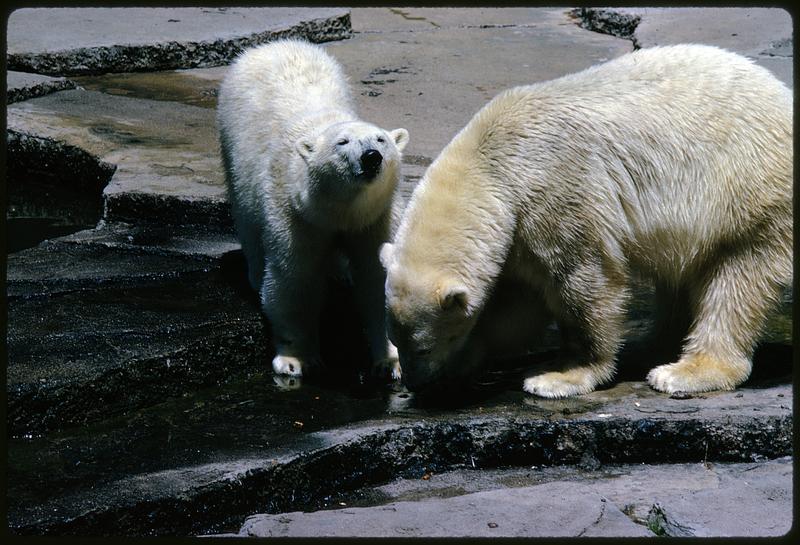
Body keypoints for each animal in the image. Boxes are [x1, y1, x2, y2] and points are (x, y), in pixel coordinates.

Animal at [217, 39, 410, 378]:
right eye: (342, 142)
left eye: (381, 139)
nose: (371, 157)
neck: (339, 209)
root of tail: (274, 44)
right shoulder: (295, 214)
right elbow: (294, 278)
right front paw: (294, 361)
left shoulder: (377, 218)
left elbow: (377, 278)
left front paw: (390, 362)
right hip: (232, 142)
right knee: (246, 218)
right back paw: (254, 273)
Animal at [382, 44, 792, 398]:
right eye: (398, 340)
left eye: (422, 347)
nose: (415, 382)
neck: (489, 167)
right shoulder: (516, 232)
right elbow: (516, 306)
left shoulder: (556, 191)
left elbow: (584, 278)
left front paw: (560, 375)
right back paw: (650, 345)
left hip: (746, 188)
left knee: (738, 277)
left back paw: (686, 370)